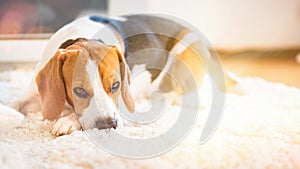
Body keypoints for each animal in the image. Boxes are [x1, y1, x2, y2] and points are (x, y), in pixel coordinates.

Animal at [12, 14, 236, 136]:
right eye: (79, 91)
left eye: (115, 86)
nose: (110, 124)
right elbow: (14, 104)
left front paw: (67, 120)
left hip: (184, 49)